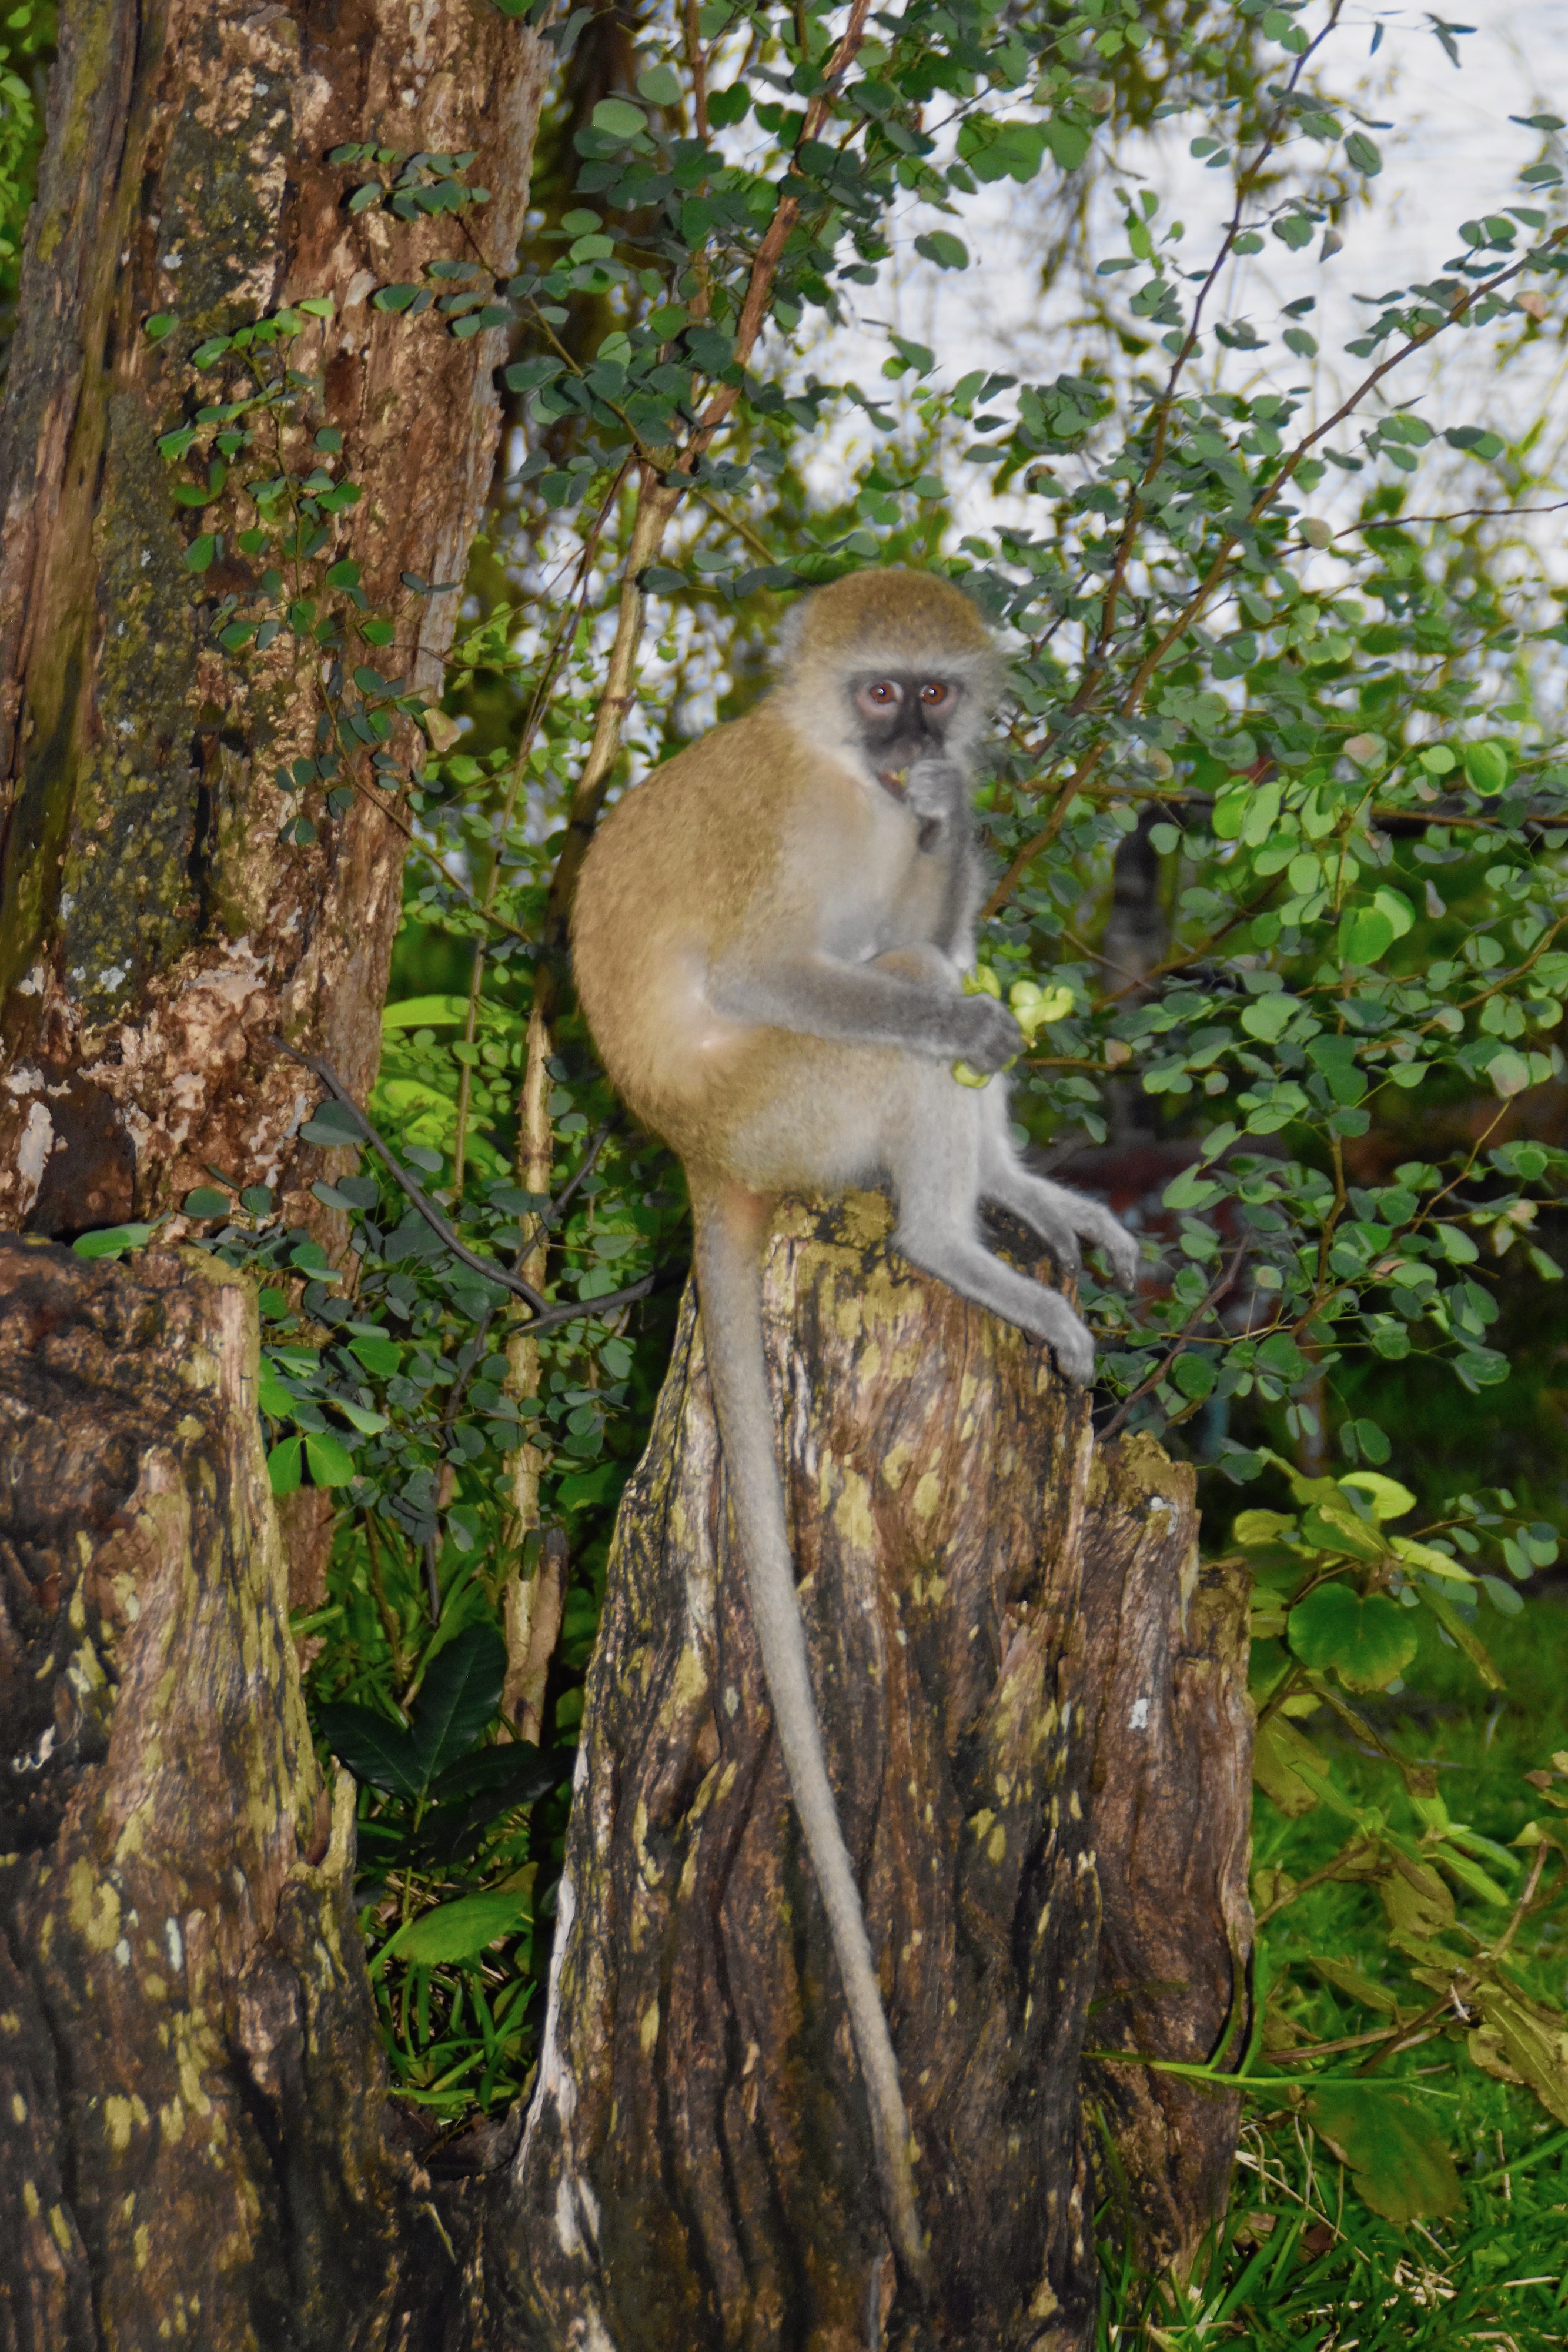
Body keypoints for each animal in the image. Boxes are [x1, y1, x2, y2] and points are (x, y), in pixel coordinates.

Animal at [571, 564, 1133, 2277]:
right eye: (879, 690)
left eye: (930, 693)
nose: (912, 747)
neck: (832, 767)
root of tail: (694, 1151)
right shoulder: (806, 835)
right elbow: (786, 967)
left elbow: (925, 908)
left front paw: (961, 817)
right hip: (789, 1104)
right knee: (905, 1012)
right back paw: (952, 1240)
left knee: (924, 969)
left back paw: (1021, 1205)